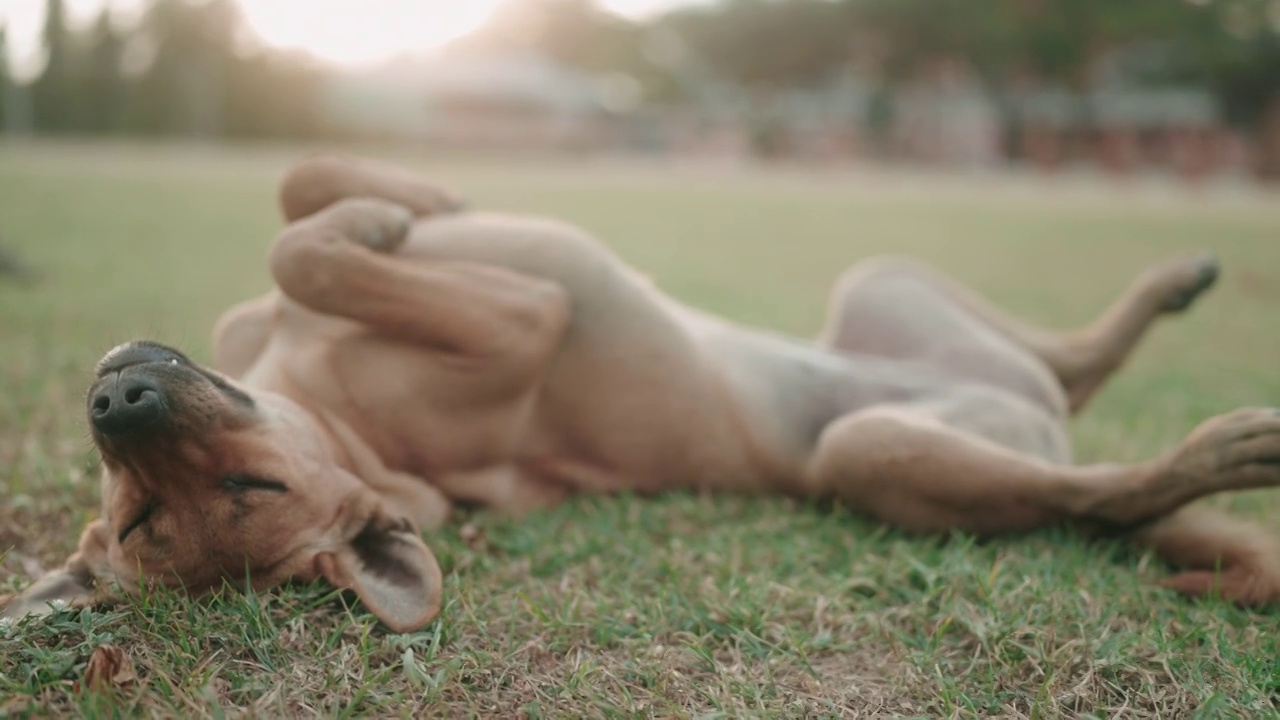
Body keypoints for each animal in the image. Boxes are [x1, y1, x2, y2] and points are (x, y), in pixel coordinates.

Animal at [2, 155, 1280, 627]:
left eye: (254, 483)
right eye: (148, 516)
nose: (119, 405)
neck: (335, 414)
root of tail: (1042, 436)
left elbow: (298, 205)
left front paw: (402, 201)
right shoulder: (522, 315)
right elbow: (302, 244)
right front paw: (382, 219)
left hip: (889, 290)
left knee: (1076, 372)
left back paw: (1171, 285)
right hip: (875, 452)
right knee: (1103, 493)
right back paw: (1220, 446)